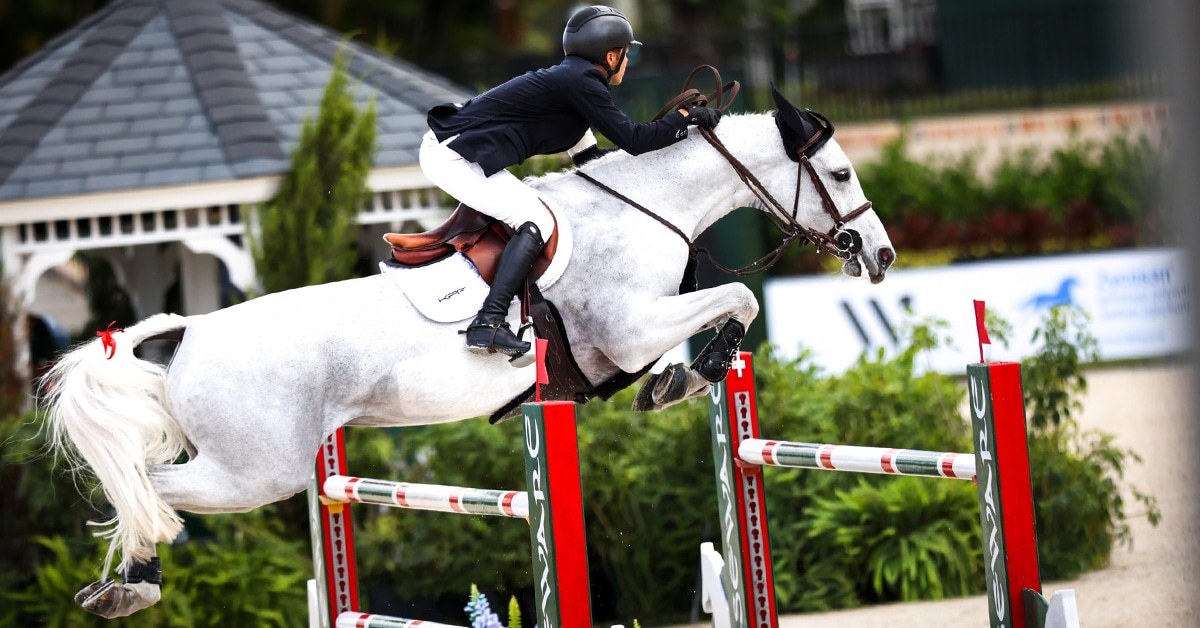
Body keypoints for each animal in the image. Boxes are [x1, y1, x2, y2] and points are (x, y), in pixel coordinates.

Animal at [42, 88, 895, 618]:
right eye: (841, 171)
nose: (882, 256)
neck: (642, 209)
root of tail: (194, 329)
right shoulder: (630, 327)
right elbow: (741, 300)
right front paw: (701, 373)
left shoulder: (628, 339)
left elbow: (707, 324)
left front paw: (677, 380)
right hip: (255, 472)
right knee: (147, 491)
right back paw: (135, 587)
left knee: (144, 491)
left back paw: (118, 591)